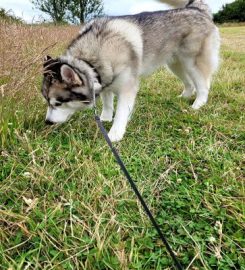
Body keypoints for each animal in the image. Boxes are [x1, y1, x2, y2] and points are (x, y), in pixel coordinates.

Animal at [41, 0, 220, 142]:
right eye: (47, 101)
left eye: (58, 103)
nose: (47, 122)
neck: (90, 59)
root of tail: (196, 8)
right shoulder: (105, 79)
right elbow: (107, 103)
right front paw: (105, 118)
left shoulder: (127, 86)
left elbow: (121, 112)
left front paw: (114, 134)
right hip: (175, 64)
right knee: (189, 83)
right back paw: (184, 96)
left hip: (192, 62)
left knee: (203, 84)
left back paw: (198, 104)